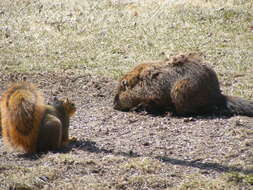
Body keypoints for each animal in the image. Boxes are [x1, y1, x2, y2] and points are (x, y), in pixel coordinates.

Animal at [114, 52, 253, 116]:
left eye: (122, 89)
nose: (114, 104)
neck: (140, 80)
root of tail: (218, 95)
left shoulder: (153, 90)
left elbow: (154, 100)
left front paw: (141, 108)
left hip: (181, 90)